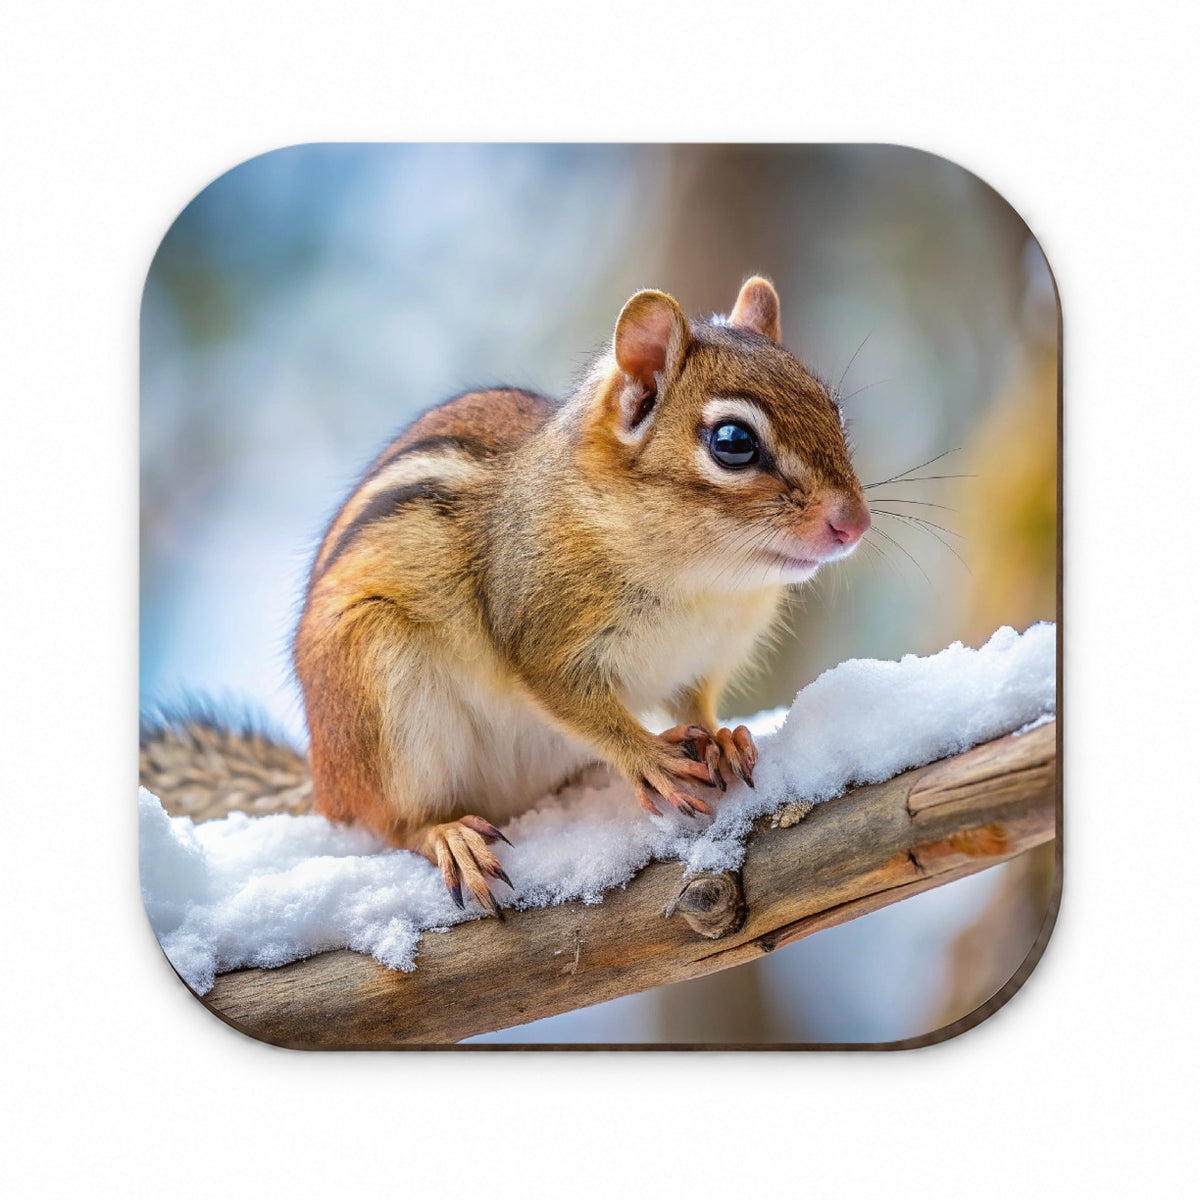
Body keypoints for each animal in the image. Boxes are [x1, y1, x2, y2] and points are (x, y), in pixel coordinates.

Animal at [140, 277, 870, 915]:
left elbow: (695, 702)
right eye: (733, 443)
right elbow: (577, 704)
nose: (855, 523)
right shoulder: (539, 632)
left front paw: (719, 737)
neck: (707, 580)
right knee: (390, 821)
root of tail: (324, 779)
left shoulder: (702, 659)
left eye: (832, 408)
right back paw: (446, 835)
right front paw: (648, 757)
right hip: (381, 693)